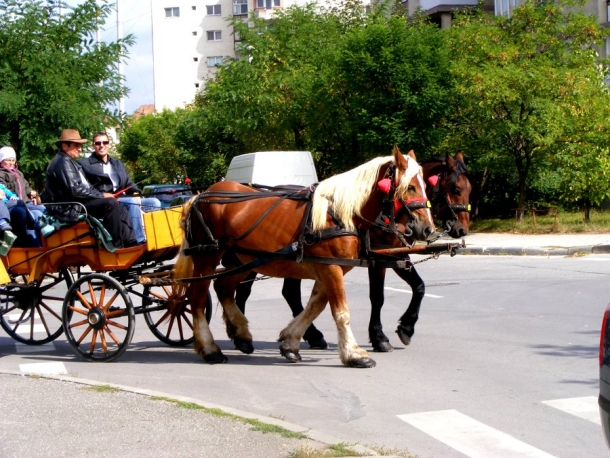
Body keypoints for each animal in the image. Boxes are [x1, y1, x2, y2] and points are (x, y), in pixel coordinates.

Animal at [173, 147, 434, 368]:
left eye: (425, 184)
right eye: (410, 187)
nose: (428, 229)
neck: (338, 214)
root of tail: (199, 196)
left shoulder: (329, 268)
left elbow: (313, 307)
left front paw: (290, 342)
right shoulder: (331, 269)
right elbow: (341, 311)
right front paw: (354, 354)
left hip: (243, 259)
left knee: (224, 287)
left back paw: (242, 334)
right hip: (208, 257)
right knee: (197, 298)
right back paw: (210, 349)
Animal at [234, 153, 470, 350]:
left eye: (470, 189)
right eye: (456, 189)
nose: (462, 229)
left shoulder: (396, 254)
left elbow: (419, 287)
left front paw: (406, 327)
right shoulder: (380, 257)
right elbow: (378, 296)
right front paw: (380, 337)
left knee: (282, 292)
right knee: (247, 290)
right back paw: (244, 335)